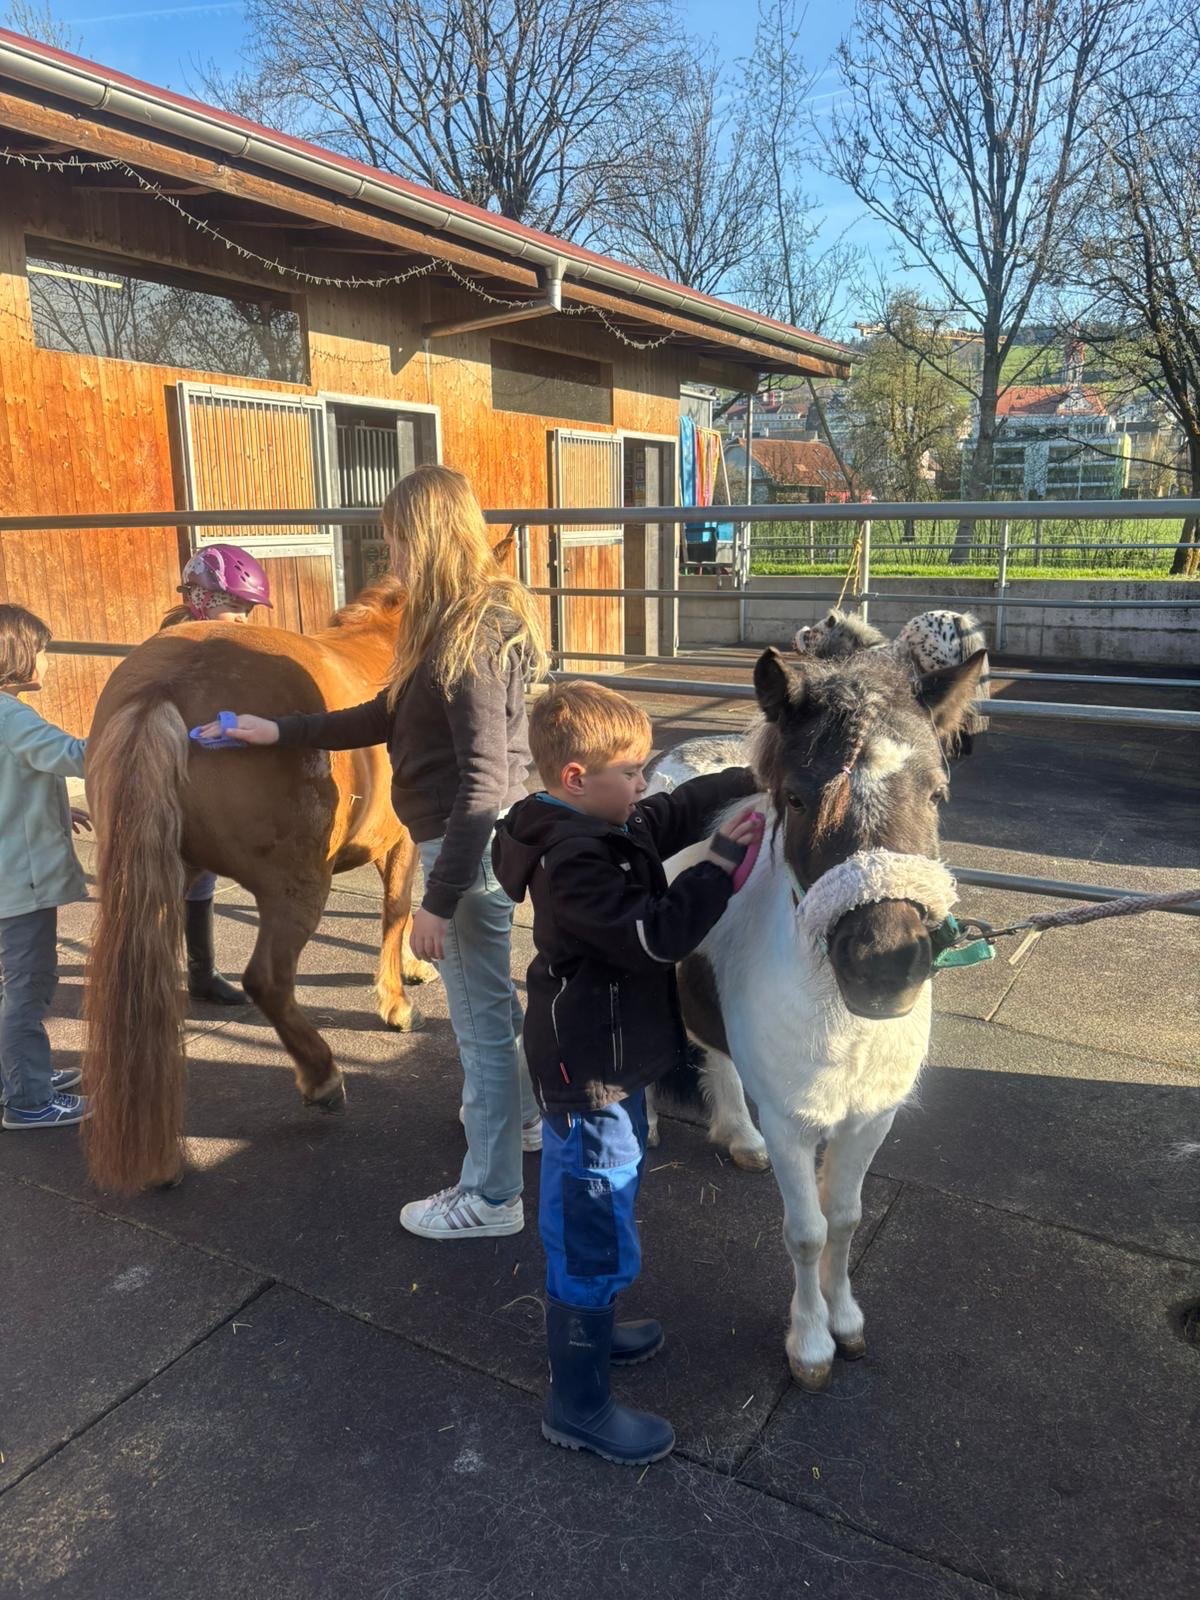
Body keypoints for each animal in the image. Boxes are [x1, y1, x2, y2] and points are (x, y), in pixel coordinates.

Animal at [82, 575, 434, 1194]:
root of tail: (165, 685)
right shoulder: (402, 843)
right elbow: (397, 911)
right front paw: (396, 1000)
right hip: (295, 888)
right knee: (268, 980)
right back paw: (322, 1078)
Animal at [650, 643, 986, 1389]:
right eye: (801, 798)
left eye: (936, 794)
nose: (886, 964)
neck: (846, 1027)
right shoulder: (792, 1124)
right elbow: (805, 1232)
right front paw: (809, 1345)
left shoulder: (871, 1120)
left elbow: (845, 1219)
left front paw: (846, 1320)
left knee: (715, 1051)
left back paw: (737, 1135)